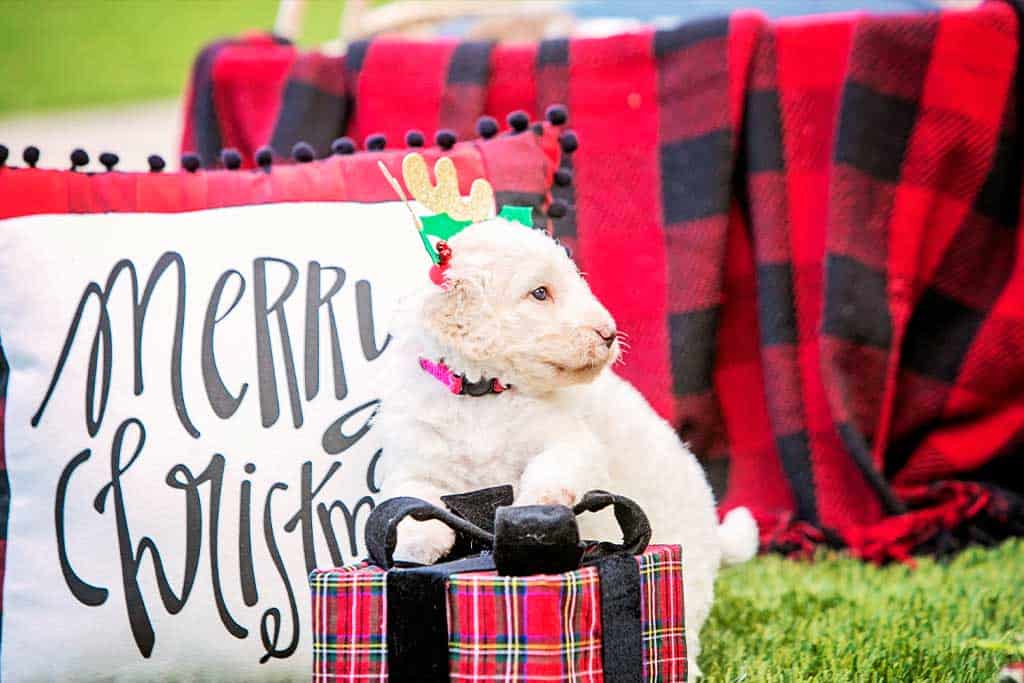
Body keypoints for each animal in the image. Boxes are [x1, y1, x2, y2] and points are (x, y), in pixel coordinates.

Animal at [372, 218, 757, 671]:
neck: (483, 395)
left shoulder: (571, 441)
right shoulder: (416, 460)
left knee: (687, 624)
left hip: (688, 567)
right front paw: (419, 542)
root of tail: (713, 524)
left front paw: (536, 505)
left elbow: (553, 468)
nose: (608, 334)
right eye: (540, 293)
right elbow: (412, 498)